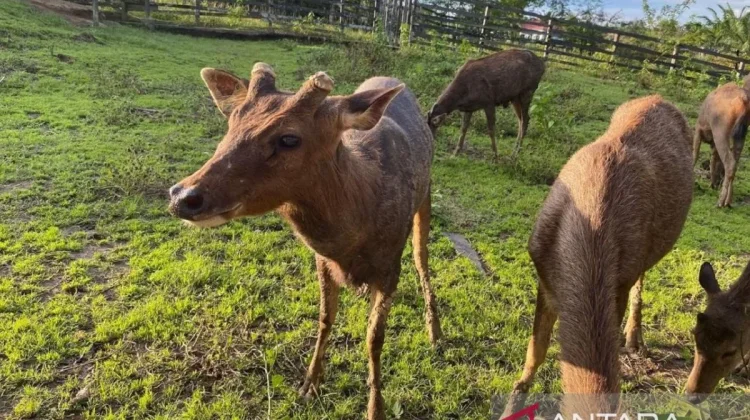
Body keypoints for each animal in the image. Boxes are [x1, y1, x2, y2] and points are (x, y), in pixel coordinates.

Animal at [167, 63, 442, 420]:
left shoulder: (390, 264)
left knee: (422, 260)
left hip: (427, 196)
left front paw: (375, 408)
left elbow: (374, 338)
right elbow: (325, 318)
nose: (183, 196)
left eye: (289, 138)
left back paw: (435, 333)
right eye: (232, 121)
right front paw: (310, 384)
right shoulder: (321, 260)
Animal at [505, 96, 693, 417]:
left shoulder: (619, 284)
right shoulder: (543, 272)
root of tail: (659, 98)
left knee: (641, 281)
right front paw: (511, 403)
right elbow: (536, 350)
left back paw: (634, 339)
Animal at [692, 77, 750, 207]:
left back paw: (720, 202)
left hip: (721, 130)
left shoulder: (698, 129)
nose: (717, 182)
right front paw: (712, 183)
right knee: (735, 162)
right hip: (741, 132)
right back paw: (728, 201)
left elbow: (695, 155)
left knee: (730, 162)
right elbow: (713, 159)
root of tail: (744, 99)